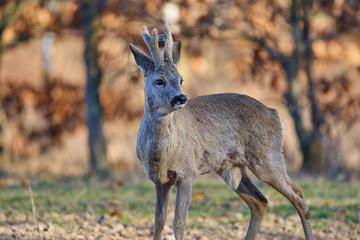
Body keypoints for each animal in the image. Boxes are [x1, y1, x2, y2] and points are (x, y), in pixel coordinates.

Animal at [129, 23, 312, 240]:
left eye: (181, 79)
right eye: (159, 81)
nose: (181, 98)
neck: (162, 154)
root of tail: (275, 114)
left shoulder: (187, 172)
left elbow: (179, 223)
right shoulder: (160, 181)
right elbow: (158, 222)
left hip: (268, 157)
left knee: (298, 196)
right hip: (232, 167)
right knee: (260, 202)